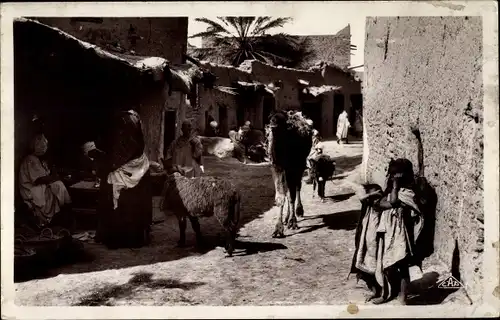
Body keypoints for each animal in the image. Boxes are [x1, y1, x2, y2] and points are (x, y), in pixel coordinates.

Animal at [266, 110, 312, 238]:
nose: (273, 126)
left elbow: (292, 195)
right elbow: (281, 196)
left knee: (297, 187)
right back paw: (286, 219)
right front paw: (278, 229)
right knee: (289, 190)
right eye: (271, 119)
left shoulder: (294, 167)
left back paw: (298, 211)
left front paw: (293, 222)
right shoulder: (277, 167)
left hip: (300, 165)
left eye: (282, 122)